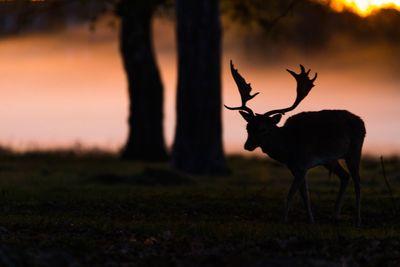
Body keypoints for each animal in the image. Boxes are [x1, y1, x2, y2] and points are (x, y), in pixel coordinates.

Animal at [225, 60, 366, 226]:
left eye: (263, 129)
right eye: (248, 127)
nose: (247, 146)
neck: (288, 148)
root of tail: (362, 122)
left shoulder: (302, 165)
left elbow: (291, 193)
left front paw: (283, 220)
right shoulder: (295, 168)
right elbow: (304, 194)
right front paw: (311, 220)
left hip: (355, 150)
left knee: (358, 181)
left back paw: (358, 220)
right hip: (330, 160)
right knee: (345, 176)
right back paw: (334, 216)